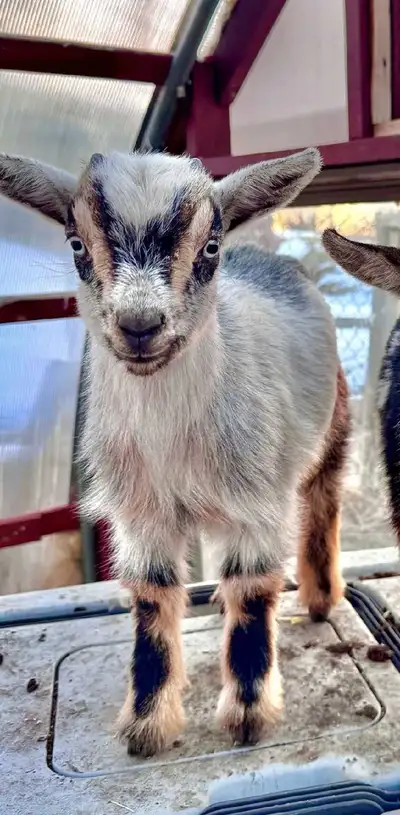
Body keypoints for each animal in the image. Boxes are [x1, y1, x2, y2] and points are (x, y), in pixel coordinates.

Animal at [0, 148, 350, 756]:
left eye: (210, 246)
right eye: (76, 244)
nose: (139, 325)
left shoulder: (257, 503)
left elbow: (252, 596)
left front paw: (249, 718)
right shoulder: (142, 516)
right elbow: (153, 600)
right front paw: (146, 725)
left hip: (332, 425)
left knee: (323, 501)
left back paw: (322, 598)